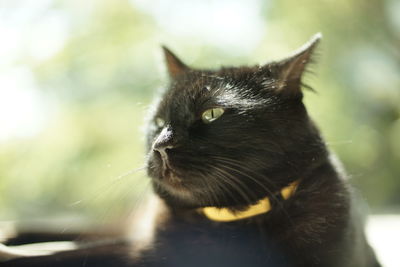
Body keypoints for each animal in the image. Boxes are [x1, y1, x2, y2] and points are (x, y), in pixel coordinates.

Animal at [0, 34, 382, 266]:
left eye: (212, 114)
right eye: (157, 122)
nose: (161, 145)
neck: (230, 223)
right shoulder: (141, 251)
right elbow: (72, 254)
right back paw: (14, 234)